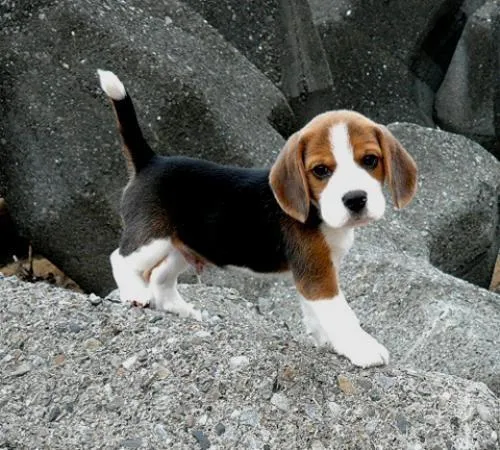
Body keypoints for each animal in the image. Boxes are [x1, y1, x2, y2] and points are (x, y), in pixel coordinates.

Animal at [97, 68, 418, 368]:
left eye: (370, 160)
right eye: (321, 171)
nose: (355, 199)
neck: (318, 212)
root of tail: (150, 161)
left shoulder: (317, 271)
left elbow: (315, 313)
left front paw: (325, 341)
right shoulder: (318, 275)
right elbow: (341, 314)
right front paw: (362, 348)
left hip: (183, 246)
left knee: (160, 276)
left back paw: (182, 310)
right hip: (153, 240)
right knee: (121, 258)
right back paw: (134, 293)